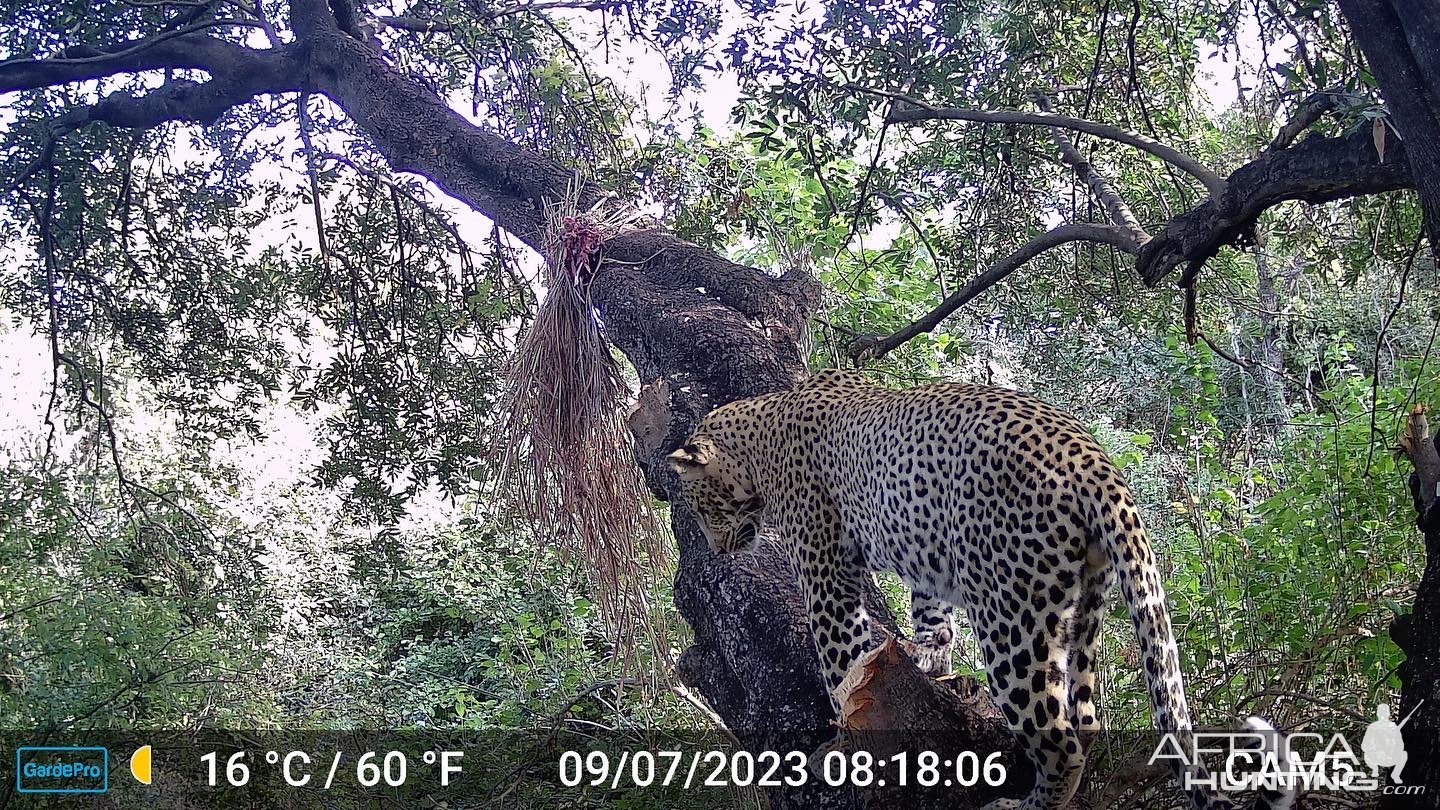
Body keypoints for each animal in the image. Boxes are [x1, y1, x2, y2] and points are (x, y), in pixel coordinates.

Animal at [668, 367, 1301, 807]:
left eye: (698, 505)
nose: (719, 550)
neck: (758, 440)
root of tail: (1094, 459)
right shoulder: (923, 554)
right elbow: (930, 618)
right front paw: (930, 663)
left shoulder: (825, 567)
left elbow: (837, 653)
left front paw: (837, 735)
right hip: (1086, 606)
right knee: (1086, 718)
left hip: (1010, 619)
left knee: (1059, 738)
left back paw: (1026, 804)